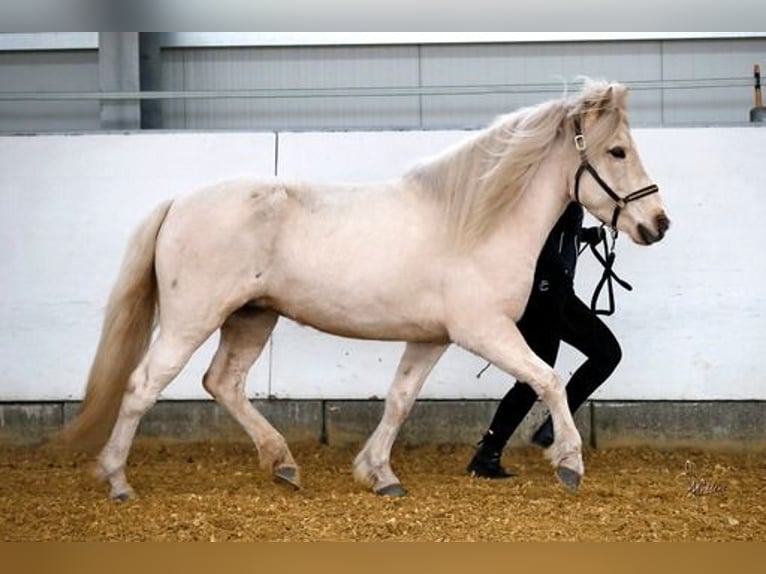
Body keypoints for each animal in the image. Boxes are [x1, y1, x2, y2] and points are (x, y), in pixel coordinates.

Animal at [58, 79, 670, 500]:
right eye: (617, 151)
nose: (658, 223)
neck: (475, 223)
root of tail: (179, 202)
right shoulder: (484, 331)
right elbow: (548, 380)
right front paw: (569, 462)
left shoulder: (432, 337)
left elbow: (400, 400)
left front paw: (379, 474)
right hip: (193, 318)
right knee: (144, 385)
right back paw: (117, 480)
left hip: (252, 316)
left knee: (223, 382)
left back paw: (282, 463)